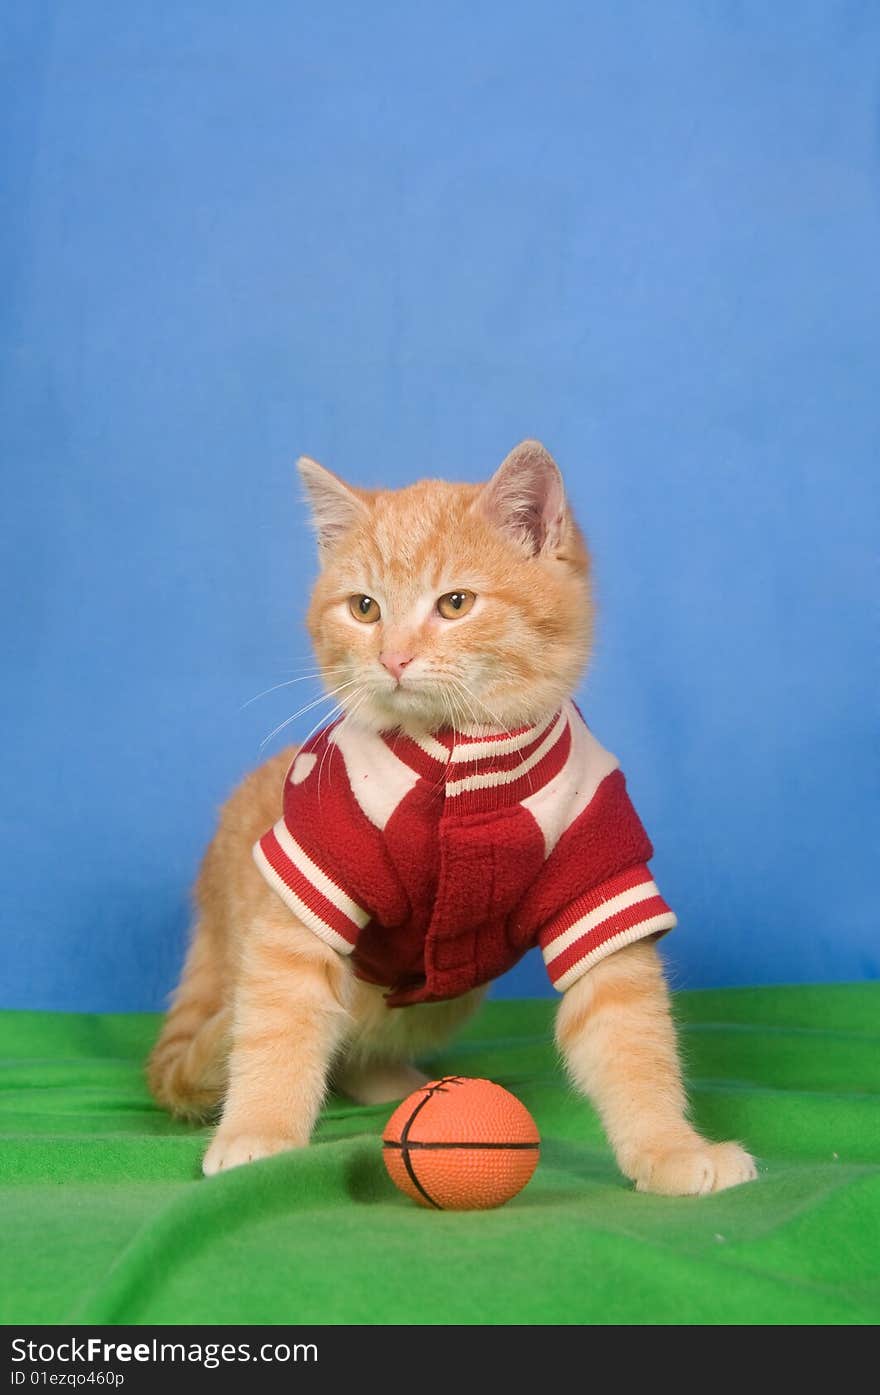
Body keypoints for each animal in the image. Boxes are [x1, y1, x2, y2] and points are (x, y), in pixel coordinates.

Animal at [147, 440, 753, 1194]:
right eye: (365, 608)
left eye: (455, 603)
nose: (393, 657)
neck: (464, 756)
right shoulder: (311, 873)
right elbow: (278, 1021)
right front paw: (260, 1130)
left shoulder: (599, 876)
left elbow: (630, 1034)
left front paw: (671, 1148)